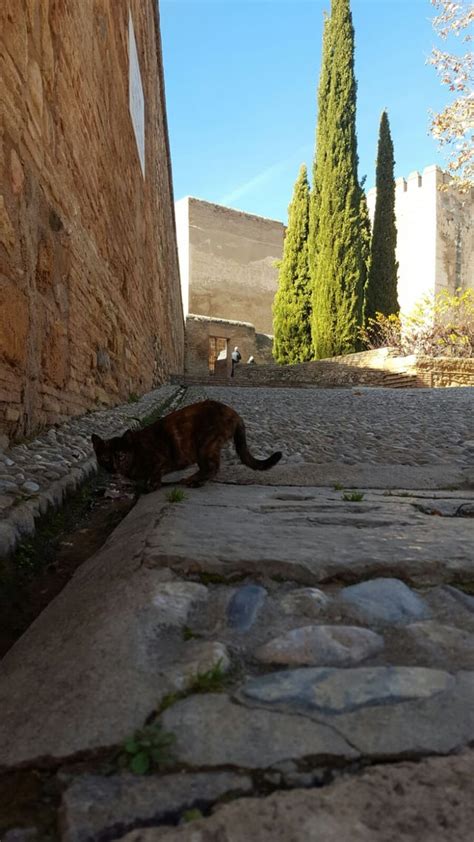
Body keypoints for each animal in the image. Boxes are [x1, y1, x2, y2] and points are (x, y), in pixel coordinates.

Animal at [91, 398, 282, 488]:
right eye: (105, 458)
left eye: (121, 455)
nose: (113, 467)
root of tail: (234, 413)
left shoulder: (162, 460)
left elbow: (155, 473)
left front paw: (152, 485)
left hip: (205, 444)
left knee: (212, 467)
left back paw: (194, 481)